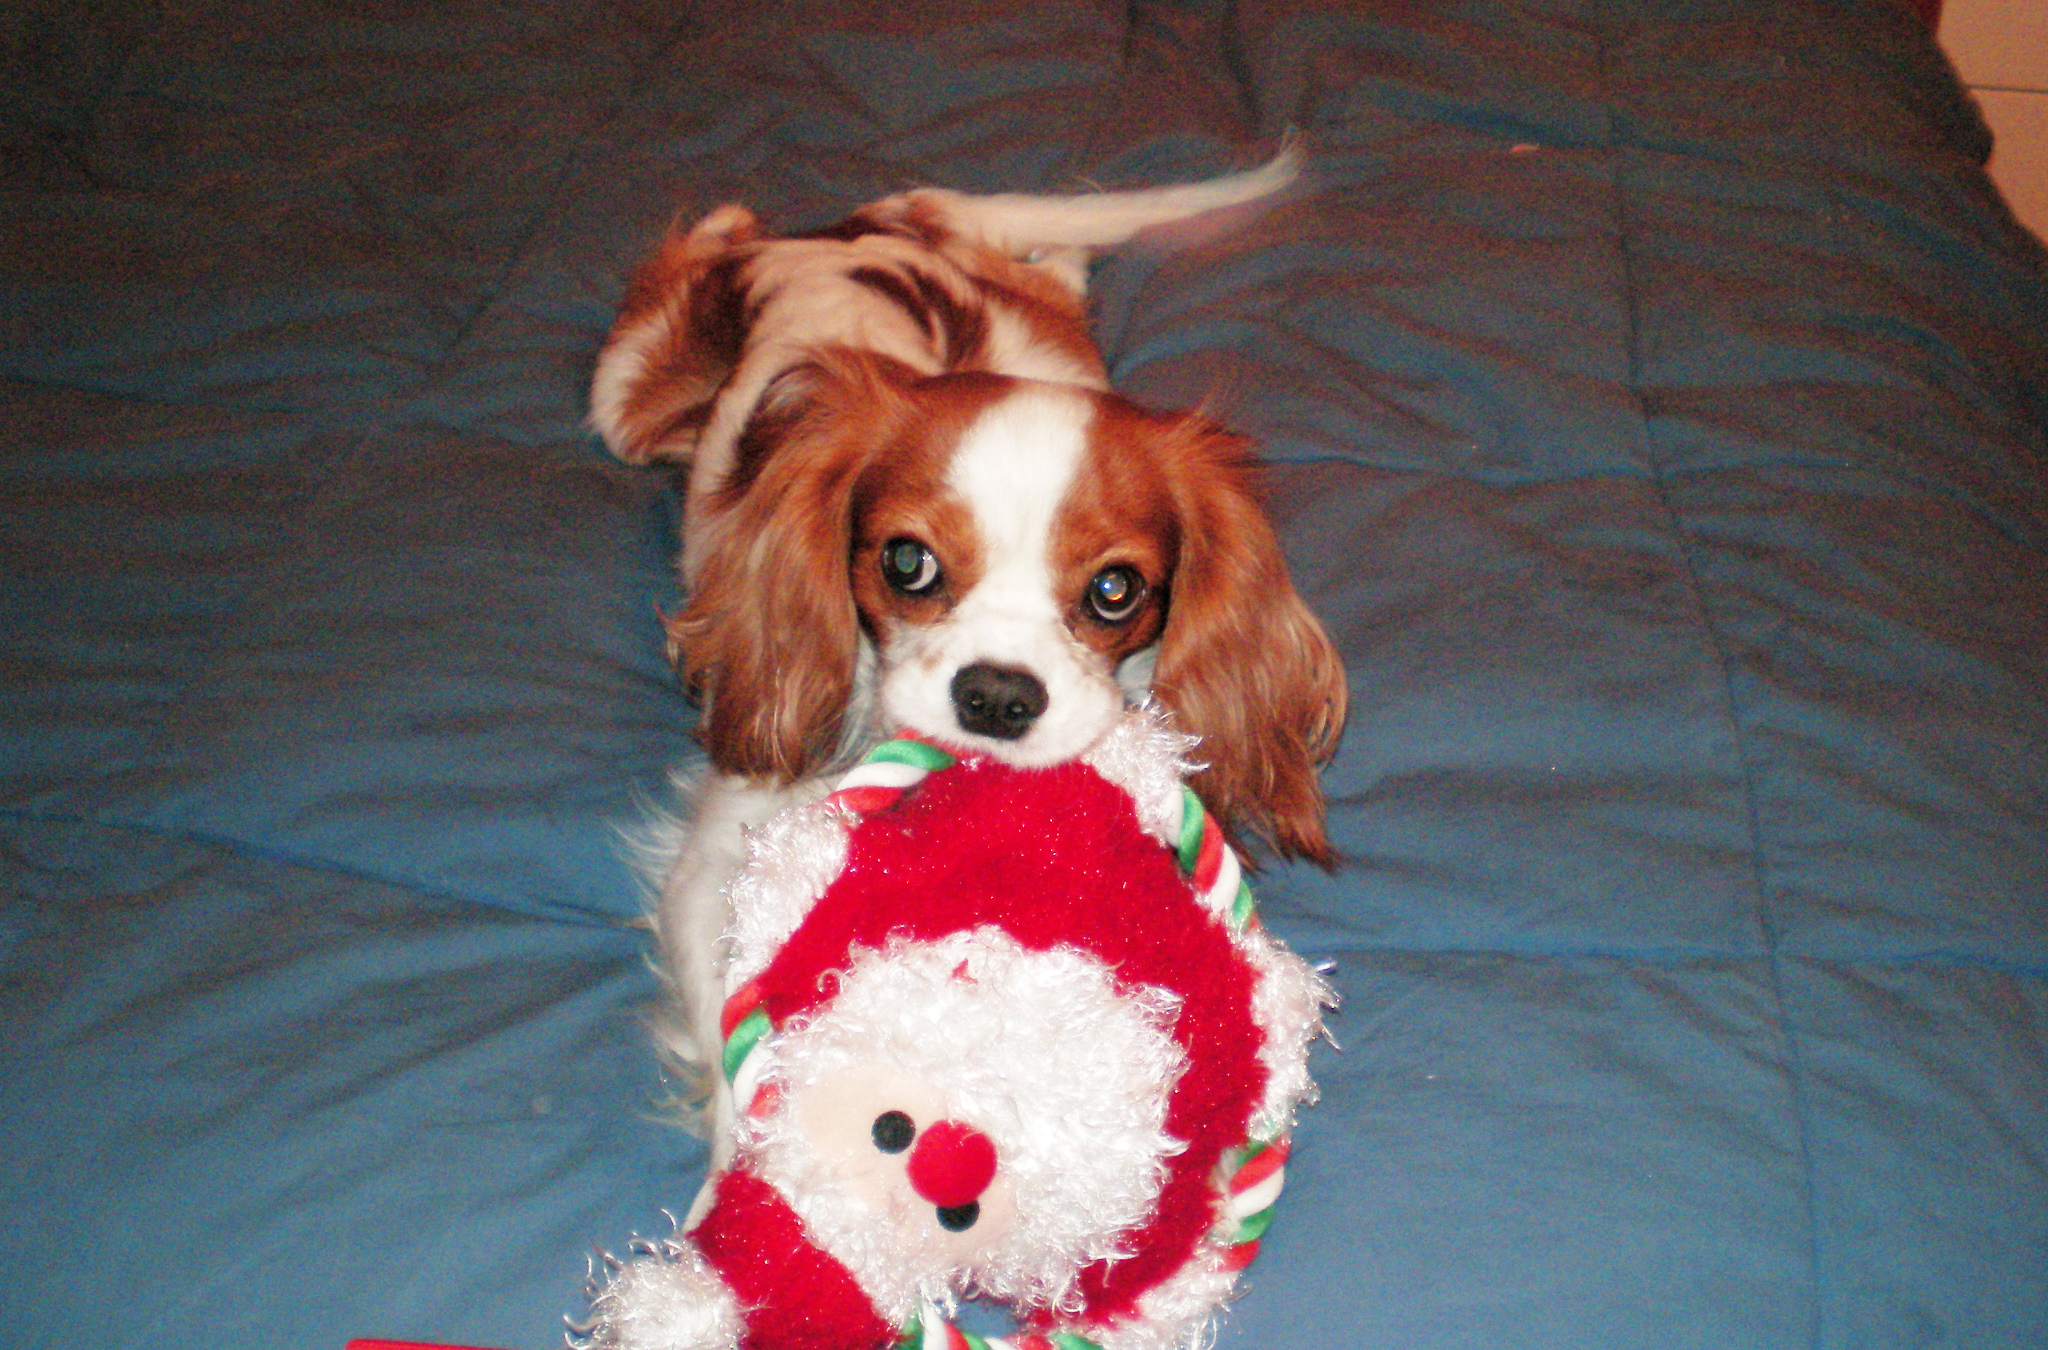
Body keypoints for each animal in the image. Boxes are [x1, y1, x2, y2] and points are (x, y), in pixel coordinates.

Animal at [588, 146, 1346, 1162]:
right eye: (907, 563)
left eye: (1116, 591)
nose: (996, 696)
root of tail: (863, 230)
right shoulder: (717, 856)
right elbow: (737, 1033)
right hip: (626, 394)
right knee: (715, 238)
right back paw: (725, 218)